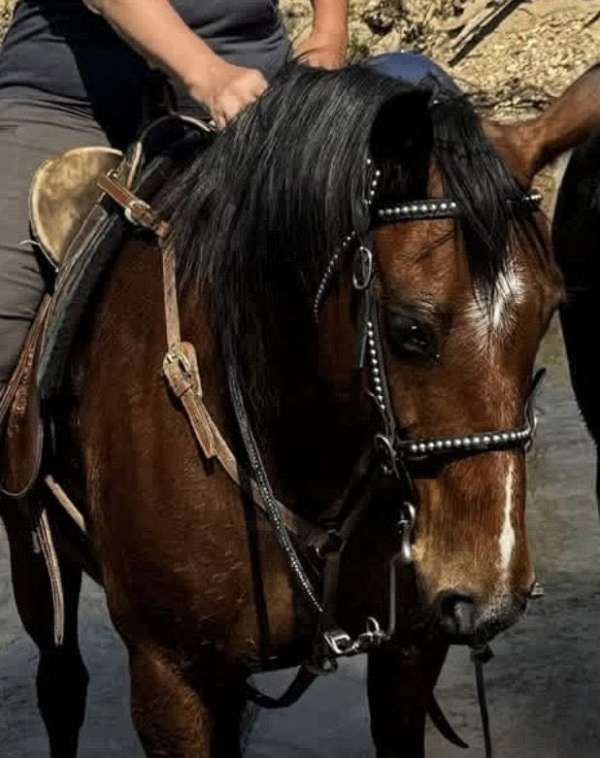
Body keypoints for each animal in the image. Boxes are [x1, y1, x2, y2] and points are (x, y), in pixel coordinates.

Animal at [2, 61, 600, 758]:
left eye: (549, 311)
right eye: (409, 330)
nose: (491, 595)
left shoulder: (408, 656)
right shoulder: (167, 680)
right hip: (30, 554)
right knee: (60, 683)